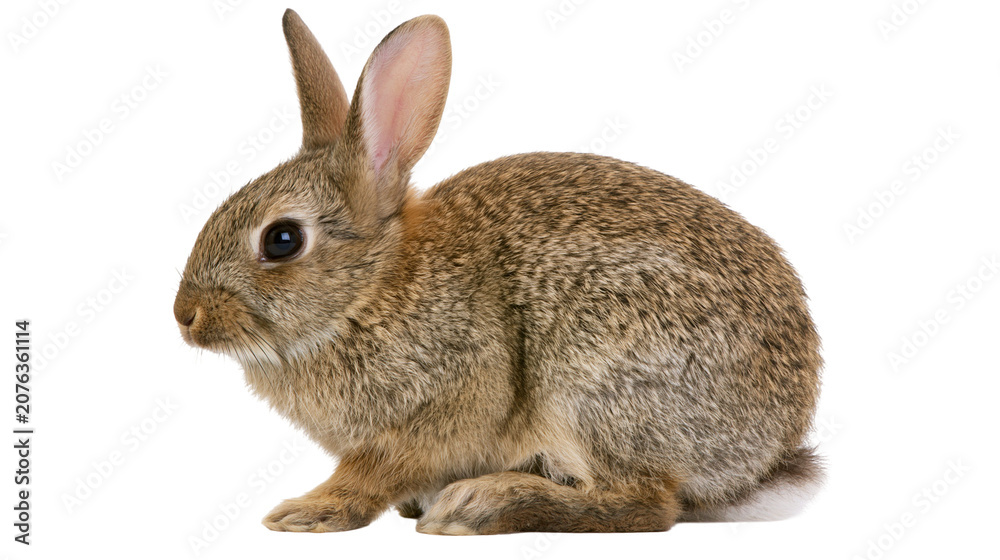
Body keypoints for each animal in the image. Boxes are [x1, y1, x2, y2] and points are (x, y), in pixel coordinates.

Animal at [173, 9, 823, 535]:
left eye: (282, 240)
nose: (185, 315)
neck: (370, 289)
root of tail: (767, 451)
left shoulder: (443, 399)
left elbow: (373, 472)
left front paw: (308, 512)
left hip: (590, 382)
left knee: (643, 505)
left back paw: (481, 505)